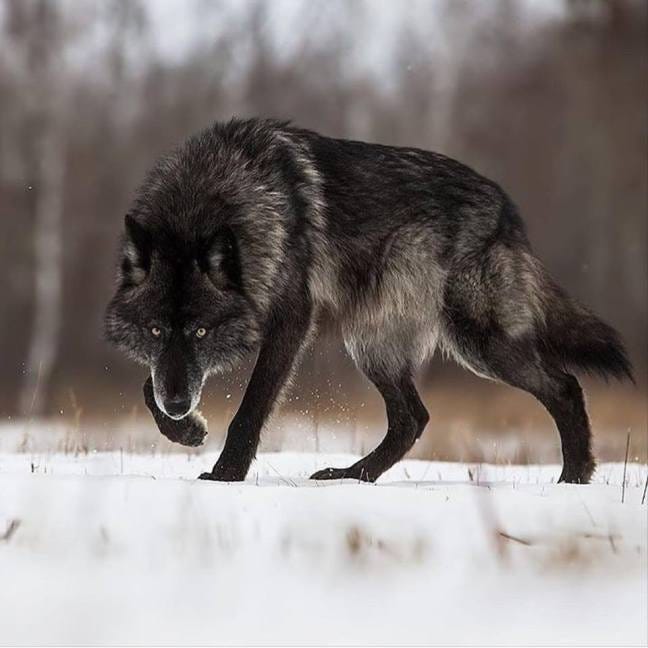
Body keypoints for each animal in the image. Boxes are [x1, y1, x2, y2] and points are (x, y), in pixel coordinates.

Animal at [104, 117, 632, 484]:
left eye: (200, 331)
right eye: (155, 330)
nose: (180, 405)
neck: (211, 198)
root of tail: (508, 209)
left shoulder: (292, 321)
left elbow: (251, 407)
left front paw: (225, 476)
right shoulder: (173, 364)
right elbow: (148, 386)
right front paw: (185, 430)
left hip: (477, 344)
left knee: (564, 386)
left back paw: (573, 479)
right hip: (373, 343)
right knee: (412, 419)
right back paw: (351, 477)